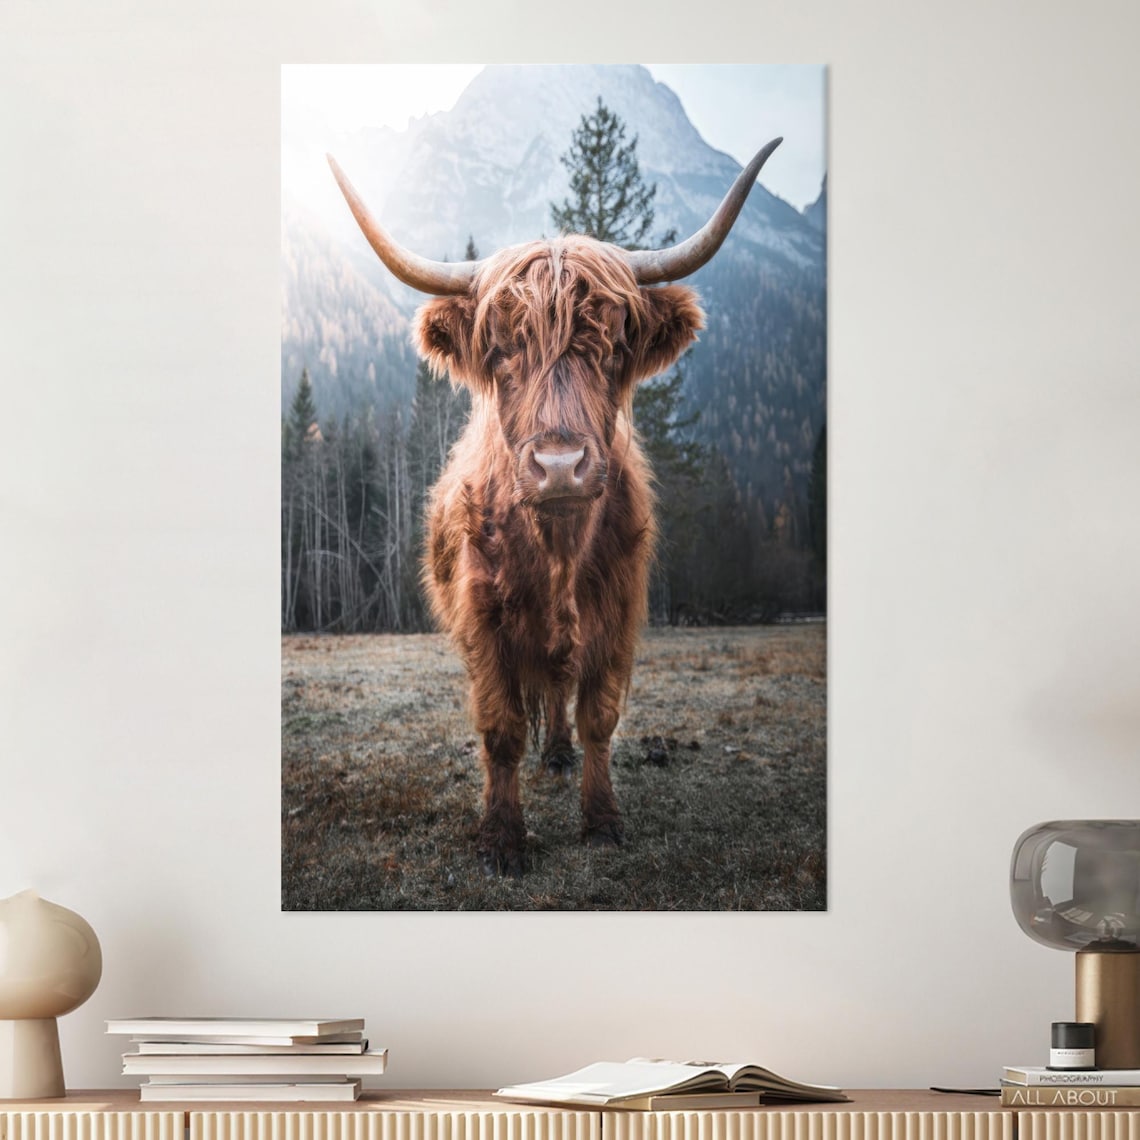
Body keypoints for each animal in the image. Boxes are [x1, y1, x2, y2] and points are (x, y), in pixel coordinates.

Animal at [328, 139, 781, 875]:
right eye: (501, 349)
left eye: (614, 345)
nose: (561, 465)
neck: (557, 549)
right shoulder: (482, 619)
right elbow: (501, 727)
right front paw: (503, 838)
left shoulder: (619, 610)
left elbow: (599, 714)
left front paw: (601, 820)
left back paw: (563, 754)